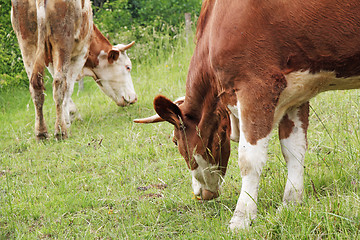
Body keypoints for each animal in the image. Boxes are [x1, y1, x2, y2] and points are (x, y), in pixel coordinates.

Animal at [11, 0, 136, 141]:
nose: (134, 98)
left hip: (27, 43)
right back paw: (61, 131)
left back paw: (41, 133)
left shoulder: (51, 61)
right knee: (59, 85)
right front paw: (68, 118)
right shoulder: (80, 55)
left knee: (36, 86)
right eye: (128, 67)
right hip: (62, 42)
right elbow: (68, 88)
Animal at [135, 0, 360, 232]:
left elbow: (249, 160)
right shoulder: (296, 94)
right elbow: (294, 151)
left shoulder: (257, 85)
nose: (198, 194)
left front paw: (241, 218)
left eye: (174, 141)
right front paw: (291, 203)